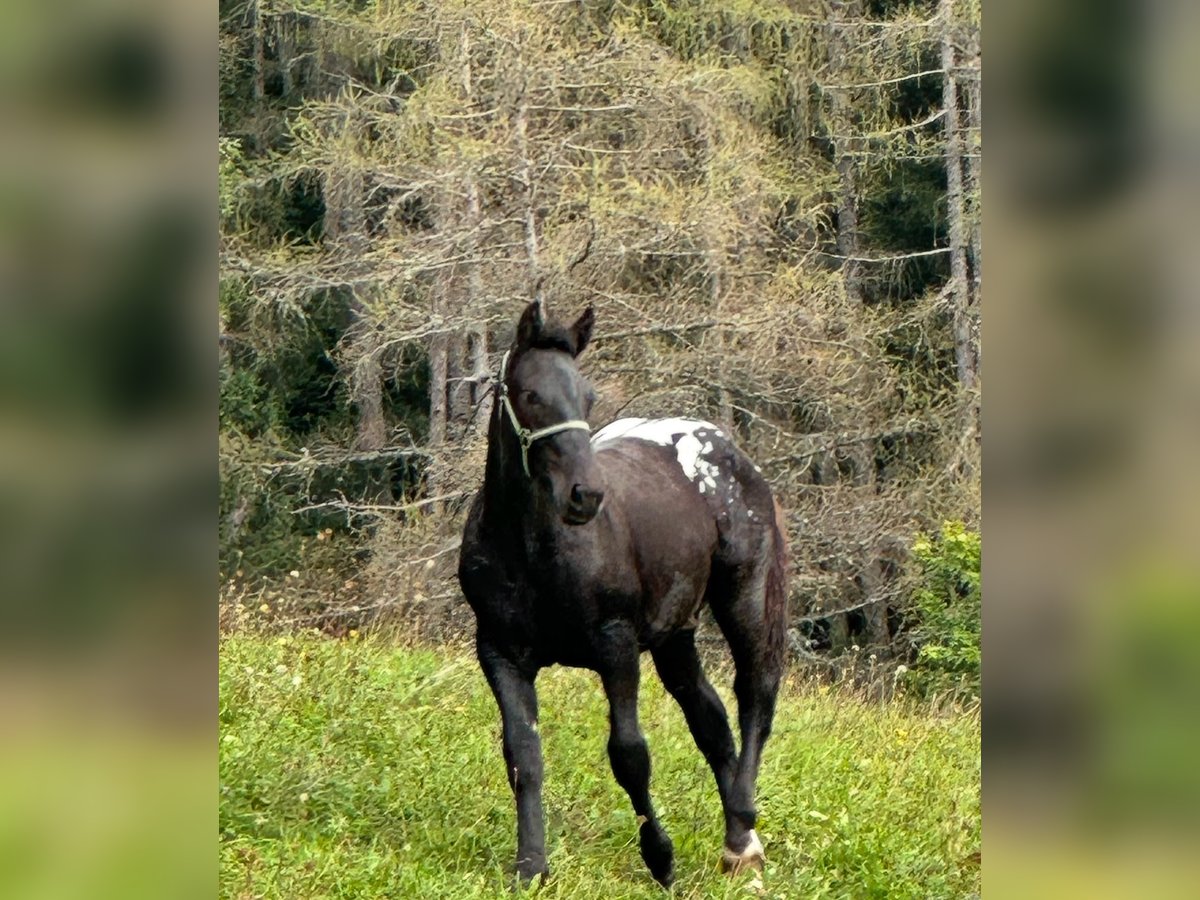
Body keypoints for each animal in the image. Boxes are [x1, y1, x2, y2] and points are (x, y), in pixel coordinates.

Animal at [456, 304, 787, 888]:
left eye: (587, 397)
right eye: (530, 394)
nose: (585, 495)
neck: (530, 551)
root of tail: (728, 448)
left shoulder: (616, 644)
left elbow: (629, 754)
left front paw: (660, 858)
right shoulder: (499, 652)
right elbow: (523, 755)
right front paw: (531, 866)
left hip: (744, 594)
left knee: (756, 694)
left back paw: (744, 833)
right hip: (675, 633)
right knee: (709, 718)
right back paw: (738, 840)